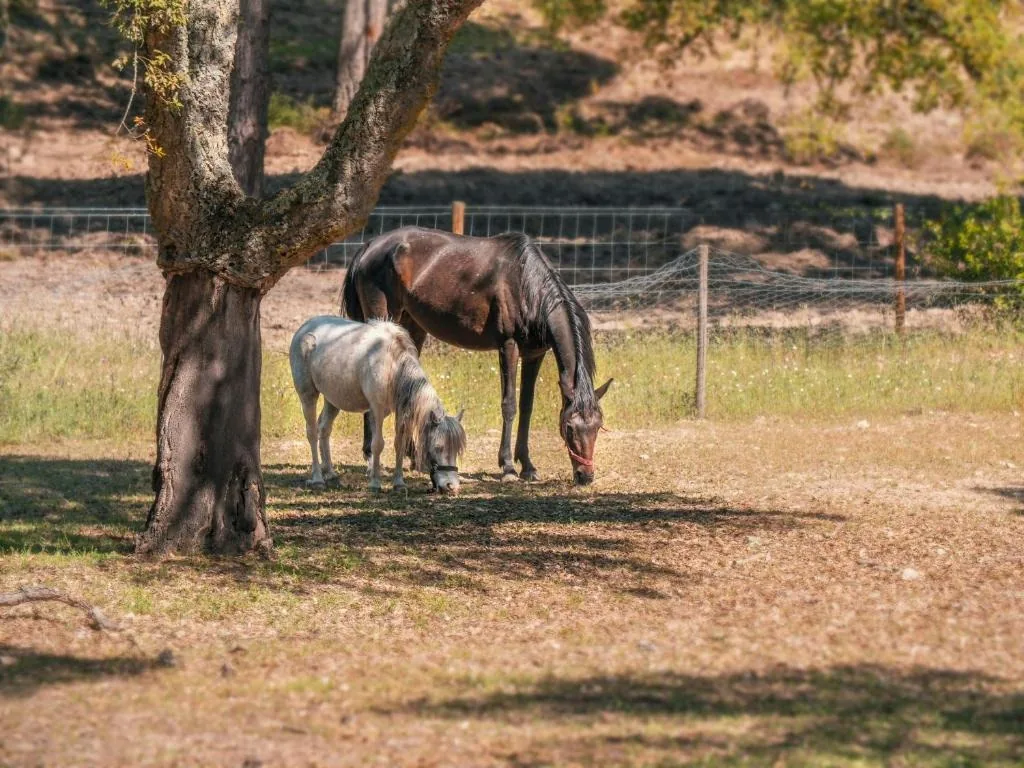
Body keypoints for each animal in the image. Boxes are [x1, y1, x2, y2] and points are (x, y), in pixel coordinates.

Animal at [289, 316, 466, 493]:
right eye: (438, 447)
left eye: (457, 450)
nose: (451, 486)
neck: (392, 365)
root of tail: (305, 327)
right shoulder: (377, 410)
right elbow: (377, 444)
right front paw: (375, 483)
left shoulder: (401, 412)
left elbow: (399, 444)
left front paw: (399, 483)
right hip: (308, 395)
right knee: (312, 432)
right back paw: (318, 478)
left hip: (332, 399)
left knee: (324, 429)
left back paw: (330, 473)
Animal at [341, 226, 612, 485]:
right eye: (570, 428)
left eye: (598, 425)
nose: (585, 477)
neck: (527, 285)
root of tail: (369, 246)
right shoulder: (508, 347)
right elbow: (509, 405)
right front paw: (508, 468)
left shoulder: (534, 354)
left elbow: (527, 407)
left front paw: (528, 466)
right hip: (383, 320)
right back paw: (370, 455)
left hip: (412, 326)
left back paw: (414, 457)